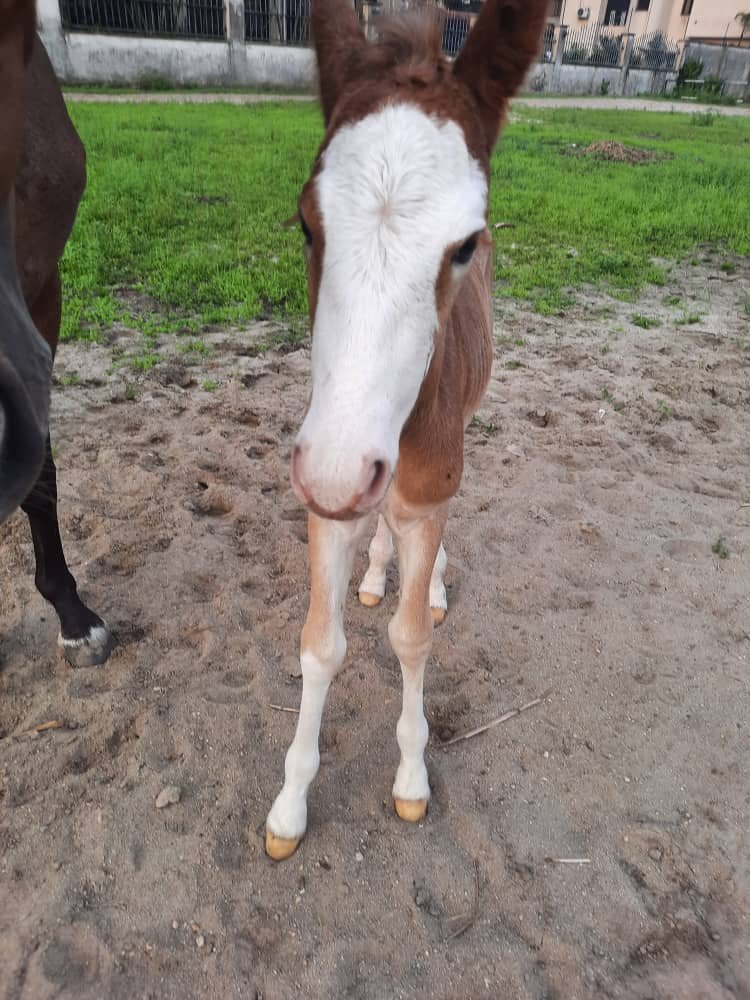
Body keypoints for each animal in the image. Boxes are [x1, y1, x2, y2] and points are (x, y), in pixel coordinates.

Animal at [265, 0, 548, 860]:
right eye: (305, 224)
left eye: (465, 244)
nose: (338, 471)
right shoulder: (327, 497)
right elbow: (320, 643)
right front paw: (289, 805)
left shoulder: (421, 493)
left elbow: (414, 636)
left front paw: (413, 779)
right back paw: (373, 569)